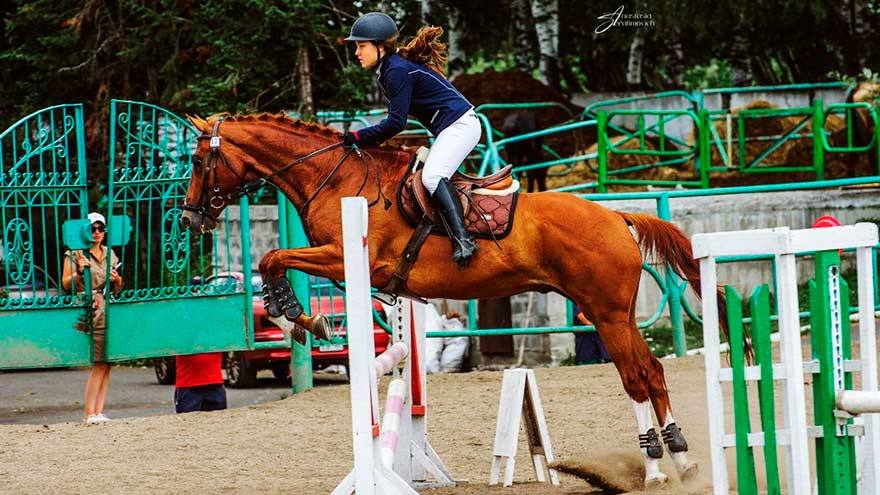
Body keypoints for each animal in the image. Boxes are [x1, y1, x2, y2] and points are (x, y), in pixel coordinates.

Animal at [180, 113, 728, 488]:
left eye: (198, 160)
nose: (189, 218)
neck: (333, 177)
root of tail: (617, 217)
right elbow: (276, 256)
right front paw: (300, 319)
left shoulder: (344, 257)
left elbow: (273, 254)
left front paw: (296, 316)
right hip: (613, 313)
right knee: (651, 371)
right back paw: (682, 459)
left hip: (606, 312)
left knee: (635, 377)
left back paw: (655, 469)